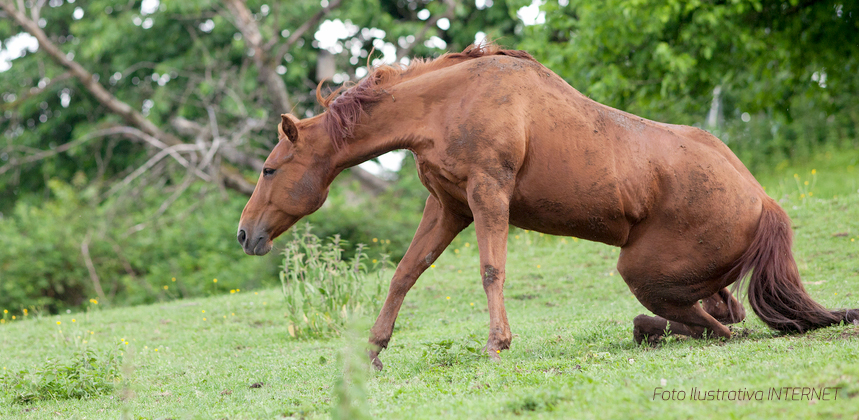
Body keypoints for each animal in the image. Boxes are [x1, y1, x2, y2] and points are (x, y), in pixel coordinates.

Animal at [240, 43, 859, 370]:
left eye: (269, 169)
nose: (247, 235)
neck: (448, 102)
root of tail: (764, 202)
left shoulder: (488, 194)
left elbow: (491, 270)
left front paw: (497, 343)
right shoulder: (448, 207)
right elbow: (404, 274)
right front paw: (373, 350)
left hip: (642, 272)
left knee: (722, 329)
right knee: (721, 315)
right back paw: (651, 330)